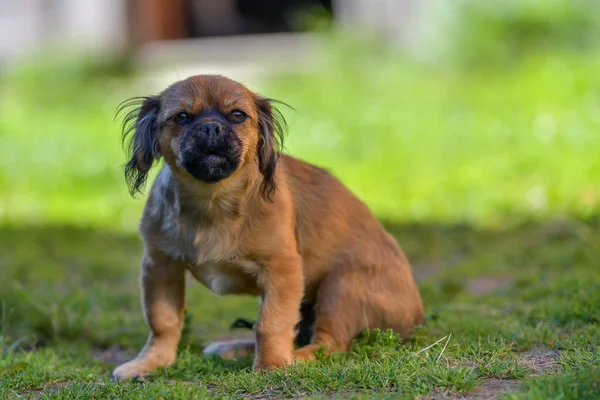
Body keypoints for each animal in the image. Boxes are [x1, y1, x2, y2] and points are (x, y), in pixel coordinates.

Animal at [110, 76, 424, 382]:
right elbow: (163, 322)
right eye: (182, 117)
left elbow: (270, 323)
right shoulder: (161, 266)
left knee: (329, 343)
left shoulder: (282, 271)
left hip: (341, 286)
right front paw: (150, 363)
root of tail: (417, 313)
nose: (211, 127)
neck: (212, 203)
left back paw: (293, 358)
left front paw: (272, 365)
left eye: (237, 115)